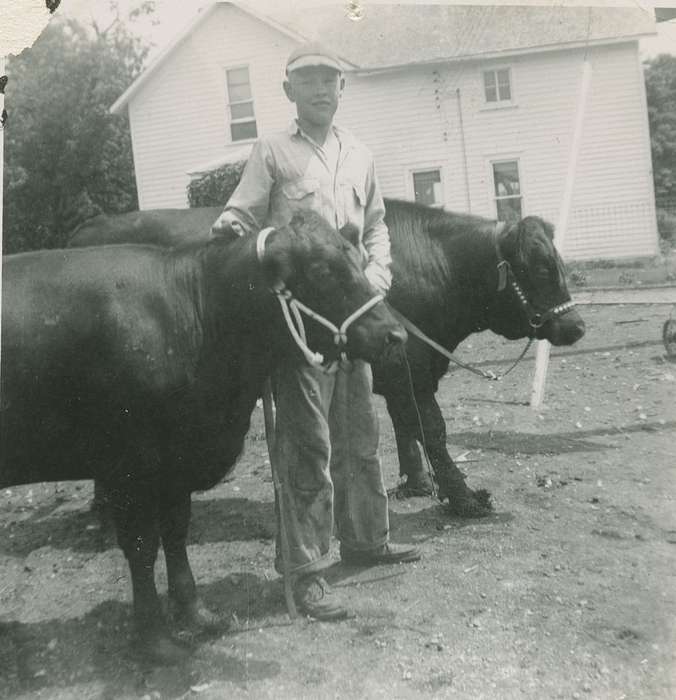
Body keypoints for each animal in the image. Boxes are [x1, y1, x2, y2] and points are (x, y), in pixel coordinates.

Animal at [0, 213, 404, 660]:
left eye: (359, 260)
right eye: (321, 271)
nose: (395, 334)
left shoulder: (176, 465)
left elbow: (176, 534)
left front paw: (196, 613)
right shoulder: (129, 467)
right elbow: (142, 547)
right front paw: (156, 639)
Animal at [70, 200, 588, 516]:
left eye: (560, 263)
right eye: (542, 267)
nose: (577, 326)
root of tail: (88, 227)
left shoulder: (400, 367)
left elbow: (406, 427)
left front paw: (415, 483)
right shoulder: (410, 368)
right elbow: (432, 429)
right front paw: (462, 498)